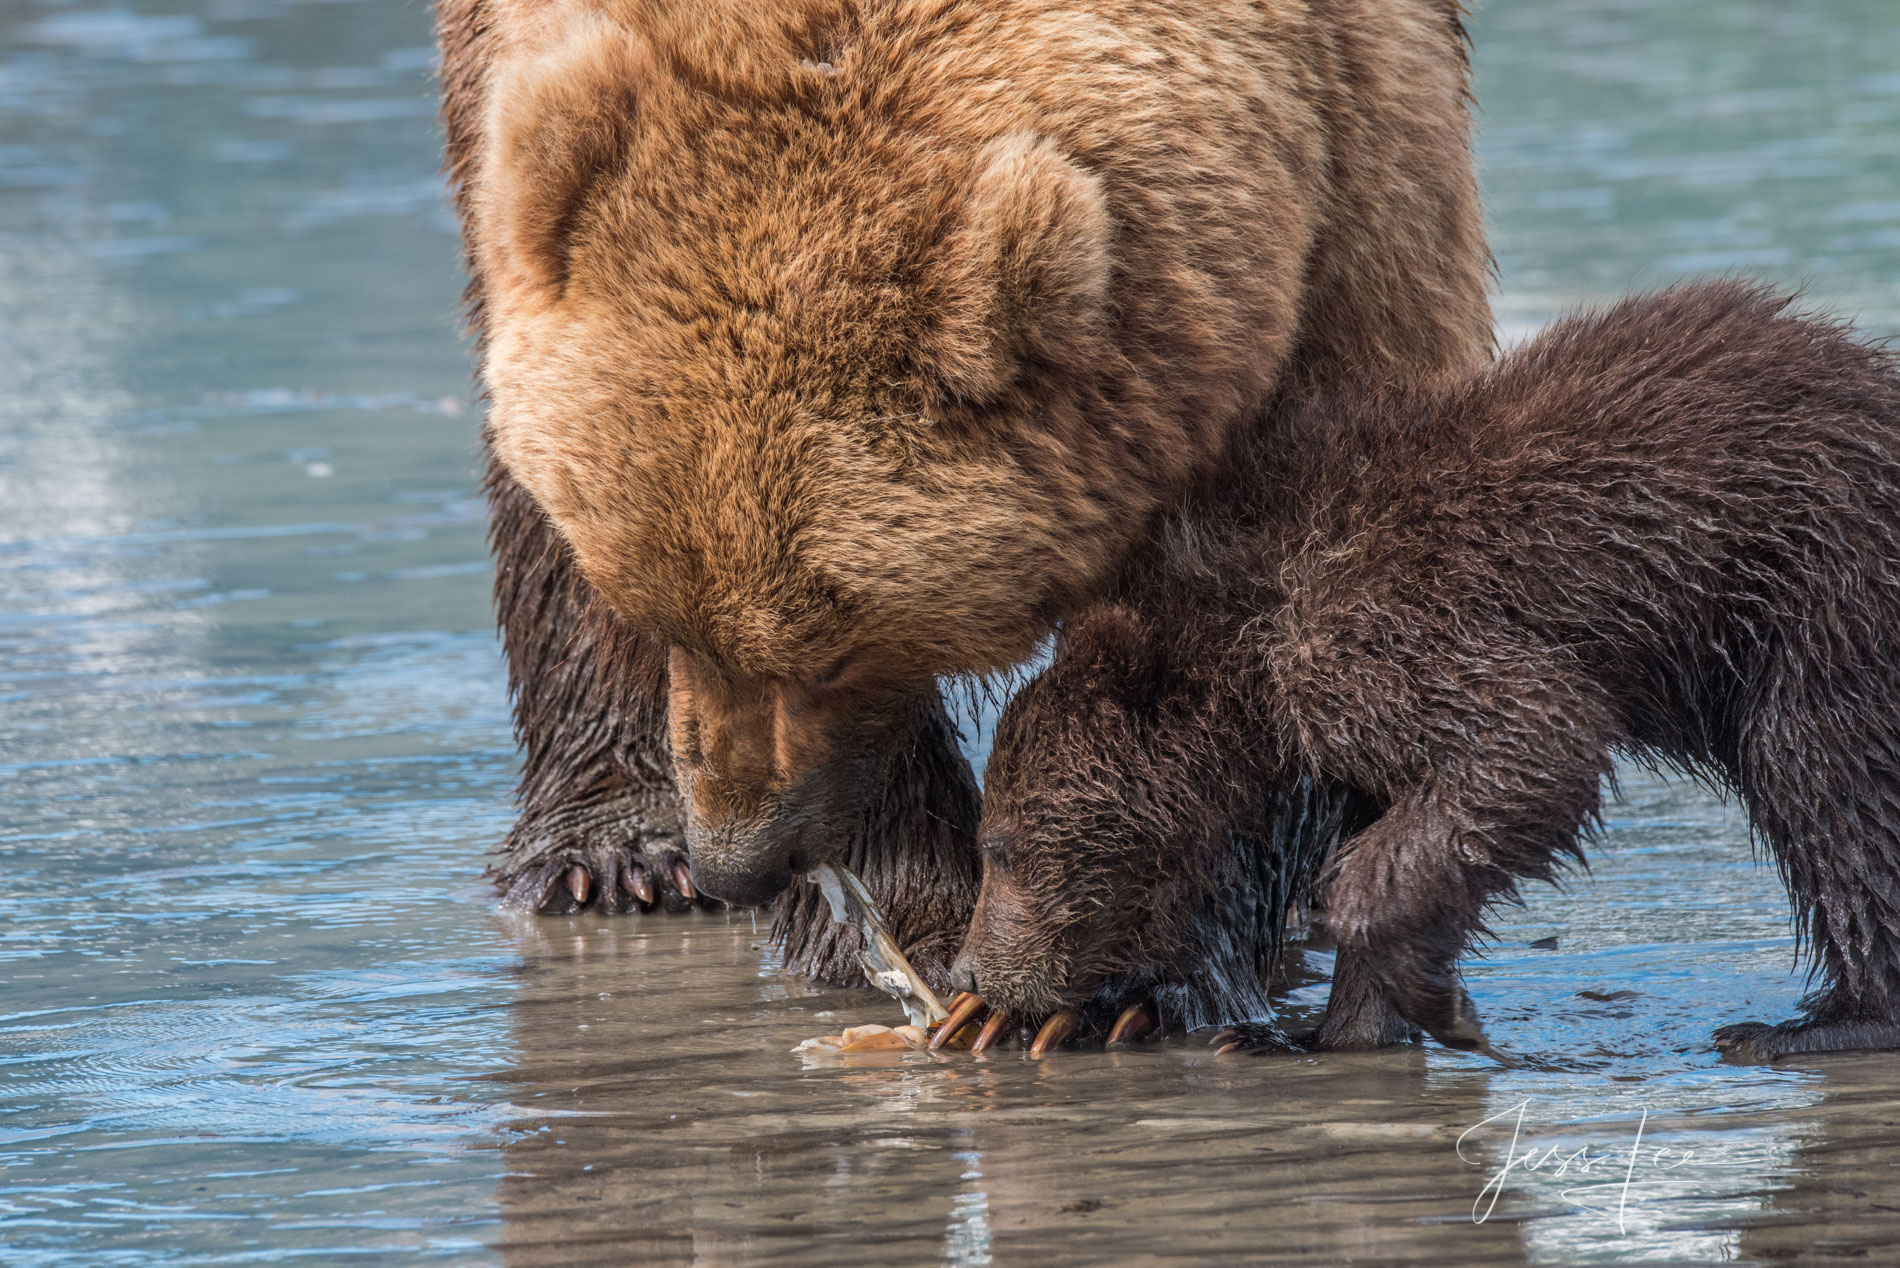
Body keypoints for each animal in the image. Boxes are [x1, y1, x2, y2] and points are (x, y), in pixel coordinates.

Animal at [437, 0, 1489, 980]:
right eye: (663, 618)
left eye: (828, 657)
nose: (739, 862)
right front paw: (917, 923)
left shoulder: (1355, 145)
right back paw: (613, 854)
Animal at [957, 285, 1900, 1064]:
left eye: (1000, 848)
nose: (968, 973)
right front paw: (1316, 1030)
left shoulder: (1373, 625)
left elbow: (1526, 743)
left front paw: (1437, 1003)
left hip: (1826, 594)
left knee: (1824, 778)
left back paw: (1821, 1021)